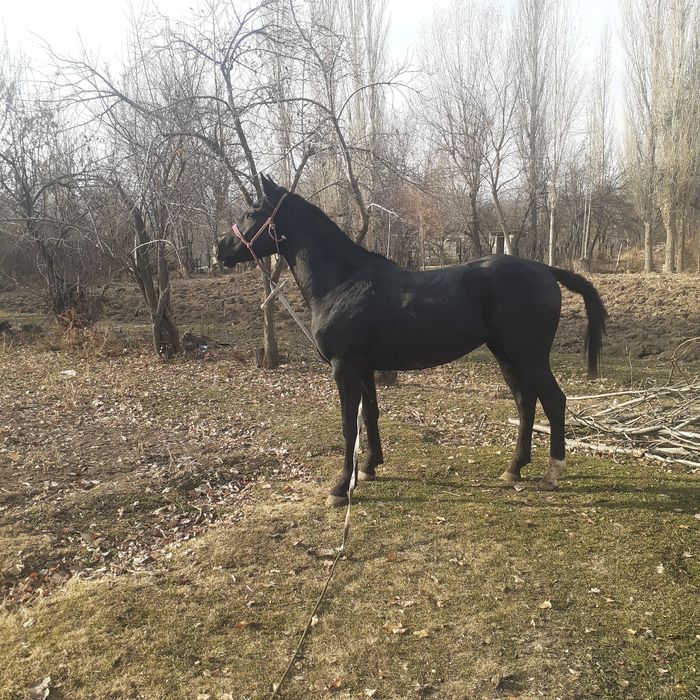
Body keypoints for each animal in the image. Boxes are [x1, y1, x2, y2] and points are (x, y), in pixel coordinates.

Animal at [217, 175, 608, 506]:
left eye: (252, 211)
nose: (220, 248)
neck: (343, 282)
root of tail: (545, 270)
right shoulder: (364, 367)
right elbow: (369, 415)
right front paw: (369, 468)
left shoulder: (344, 367)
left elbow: (348, 425)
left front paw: (341, 488)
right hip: (506, 355)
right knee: (526, 404)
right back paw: (514, 469)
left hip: (529, 356)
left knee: (554, 401)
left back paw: (552, 472)